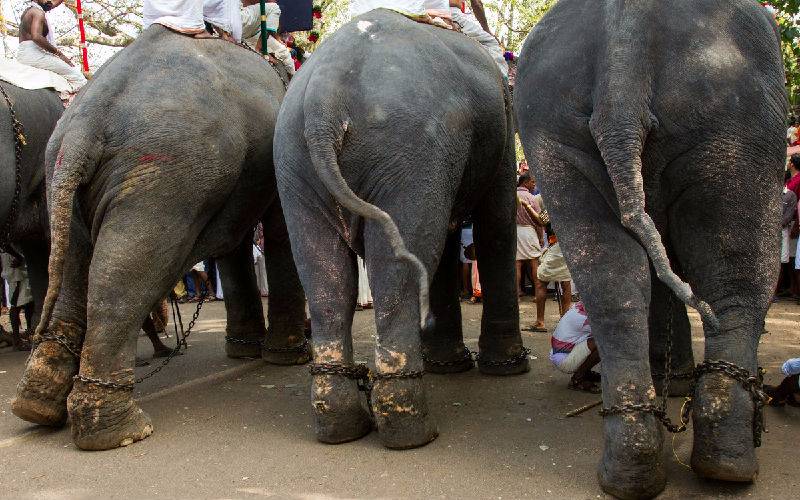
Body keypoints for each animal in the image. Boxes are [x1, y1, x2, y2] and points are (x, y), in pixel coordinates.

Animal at [11, 25, 309, 451]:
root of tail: (84, 122)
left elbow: (235, 243)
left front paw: (246, 352)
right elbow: (280, 229)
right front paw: (287, 357)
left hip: (65, 178)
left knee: (72, 268)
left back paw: (36, 406)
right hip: (164, 172)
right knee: (121, 271)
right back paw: (122, 431)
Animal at [274, 9, 526, 450]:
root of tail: (325, 93)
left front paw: (450, 365)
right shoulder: (500, 129)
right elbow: (496, 227)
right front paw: (506, 367)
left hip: (294, 159)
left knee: (325, 274)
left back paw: (341, 423)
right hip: (411, 152)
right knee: (398, 265)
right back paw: (413, 431)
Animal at [514, 0, 787, 498]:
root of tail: (627, 23)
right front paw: (677, 383)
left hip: (550, 122)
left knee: (611, 280)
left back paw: (632, 470)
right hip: (737, 115)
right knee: (739, 270)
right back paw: (730, 465)